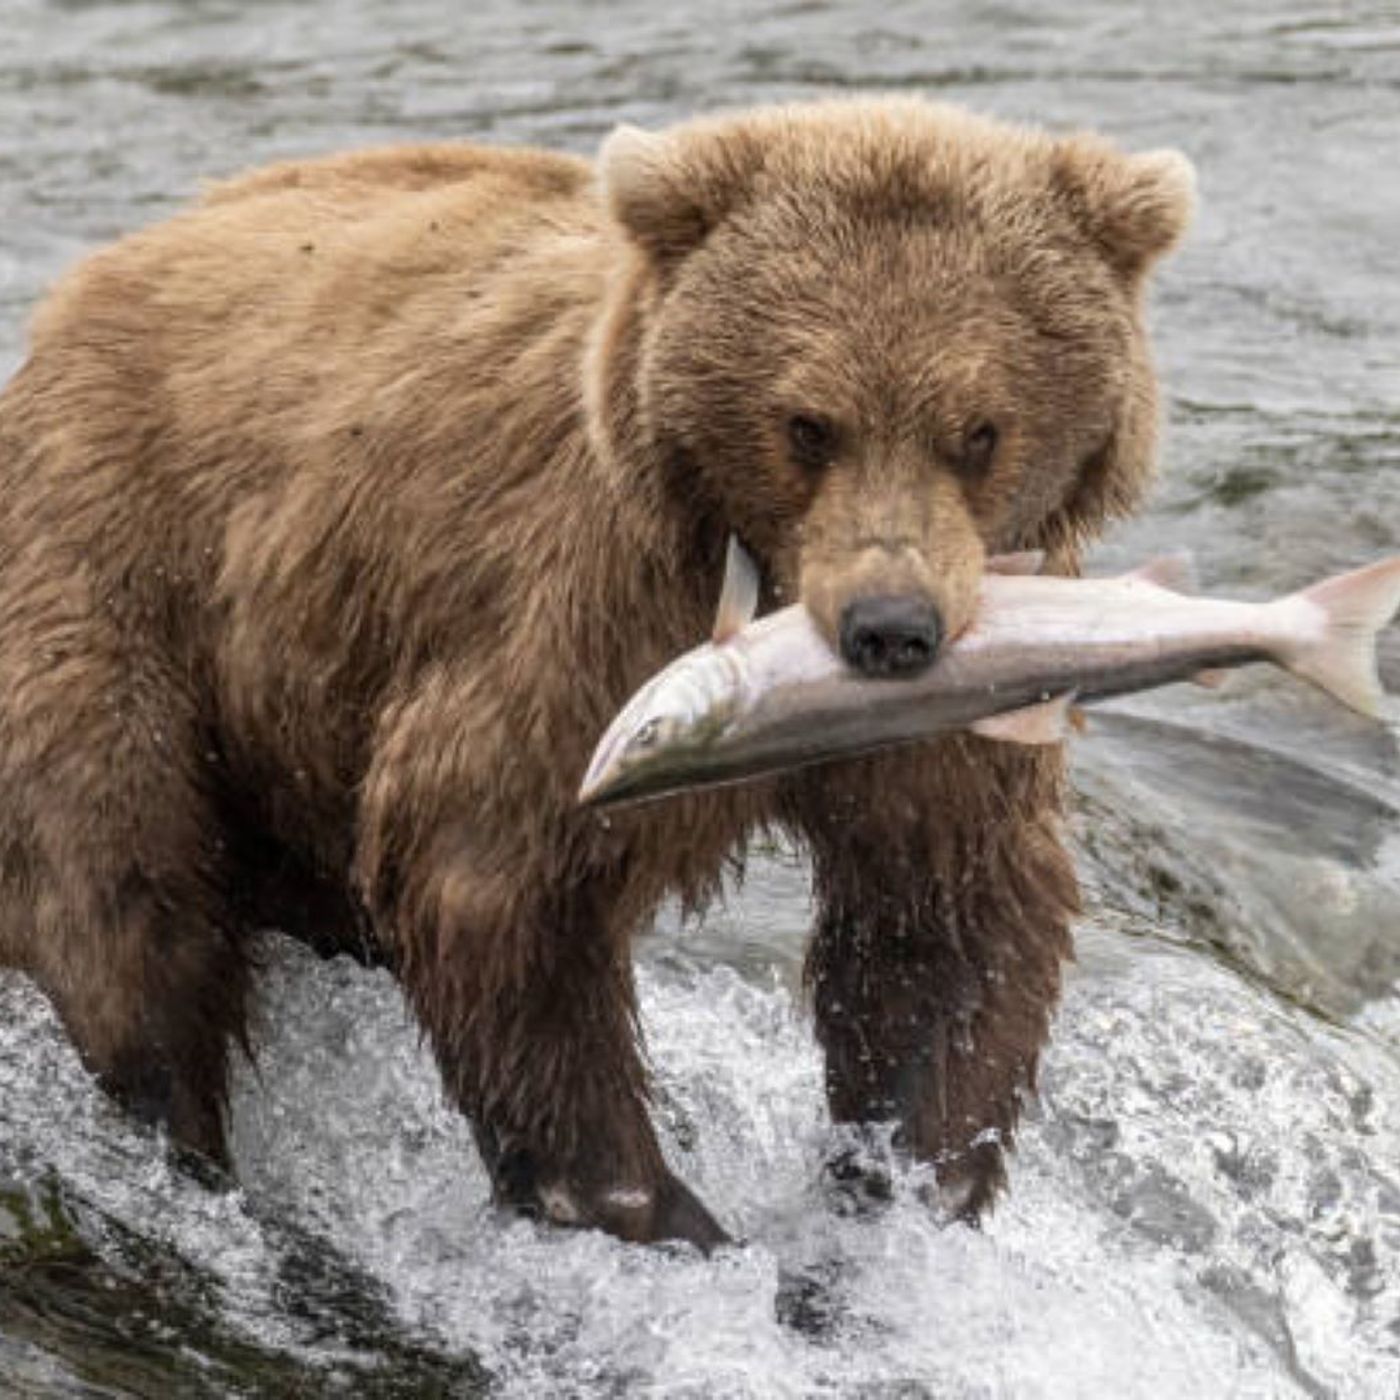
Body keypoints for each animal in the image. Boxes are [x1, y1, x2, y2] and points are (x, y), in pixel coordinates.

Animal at [0, 103, 1192, 1254]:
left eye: (978, 430)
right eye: (807, 424)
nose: (887, 628)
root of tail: (73, 299)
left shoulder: (973, 673)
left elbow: (939, 904)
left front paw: (905, 1175)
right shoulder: (585, 610)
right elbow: (492, 869)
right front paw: (654, 1206)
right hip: (120, 581)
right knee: (122, 892)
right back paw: (182, 1142)